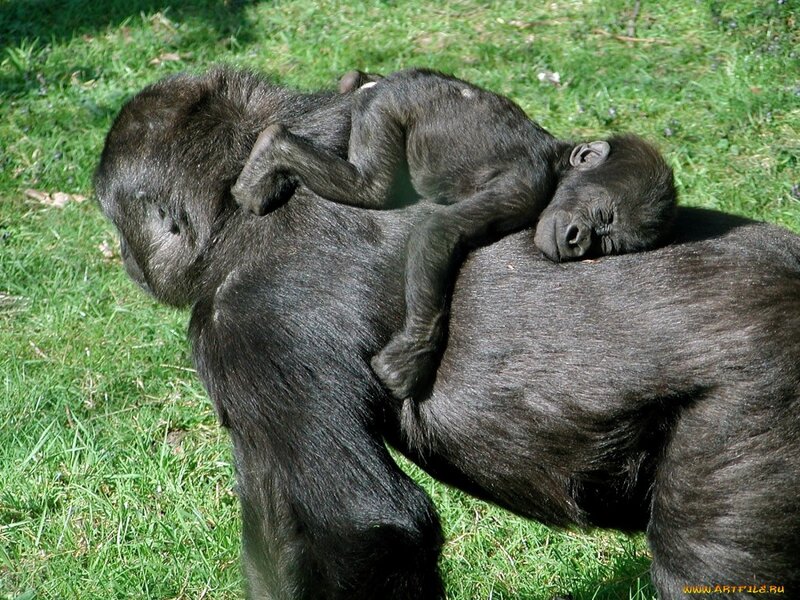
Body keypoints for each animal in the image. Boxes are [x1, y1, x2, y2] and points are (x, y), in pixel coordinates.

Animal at [231, 68, 677, 402]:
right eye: (600, 215)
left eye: (609, 241)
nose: (579, 239)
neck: (556, 164)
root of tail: (395, 80)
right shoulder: (521, 188)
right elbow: (439, 231)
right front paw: (413, 355)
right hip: (386, 108)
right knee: (372, 187)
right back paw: (272, 148)